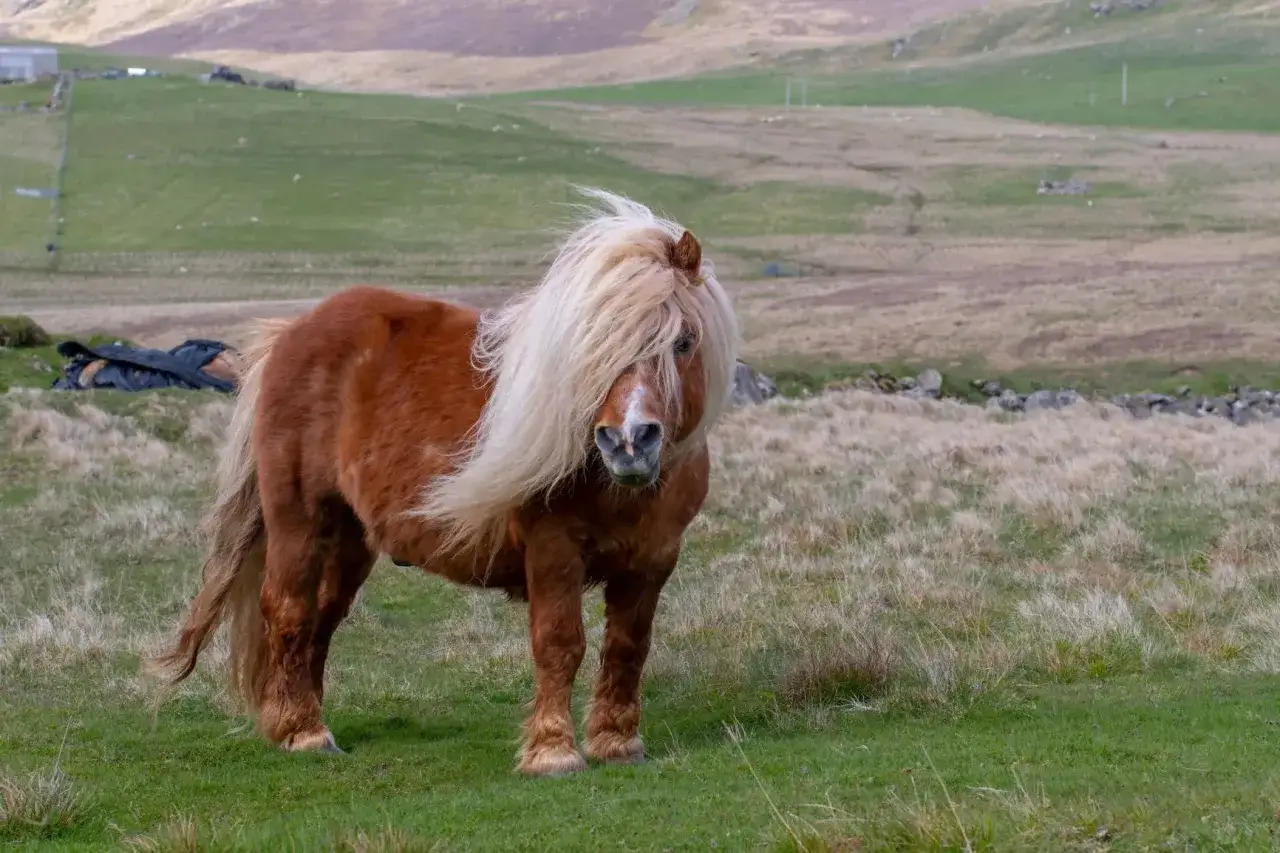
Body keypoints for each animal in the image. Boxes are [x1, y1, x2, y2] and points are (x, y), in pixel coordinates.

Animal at [146, 188, 741, 777]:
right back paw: (304, 732)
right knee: (289, 611)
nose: (627, 441)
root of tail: (291, 334)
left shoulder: (653, 561)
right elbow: (559, 643)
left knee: (321, 620)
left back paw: (298, 721)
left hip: (350, 539)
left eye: (684, 342)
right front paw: (553, 752)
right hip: (300, 522)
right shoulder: (554, 551)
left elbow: (627, 648)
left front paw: (618, 744)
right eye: (595, 350)